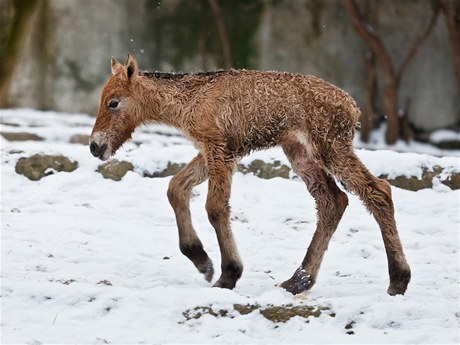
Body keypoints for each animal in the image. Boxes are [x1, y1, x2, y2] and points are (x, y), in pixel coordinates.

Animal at [89, 55, 410, 294]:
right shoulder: (214, 151)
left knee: (377, 191)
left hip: (330, 148)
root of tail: (353, 108)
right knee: (334, 201)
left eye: (113, 102)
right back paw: (298, 280)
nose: (95, 146)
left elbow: (215, 207)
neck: (190, 100)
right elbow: (175, 188)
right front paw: (201, 260)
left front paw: (228, 274)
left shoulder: (219, 150)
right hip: (301, 153)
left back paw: (398, 279)